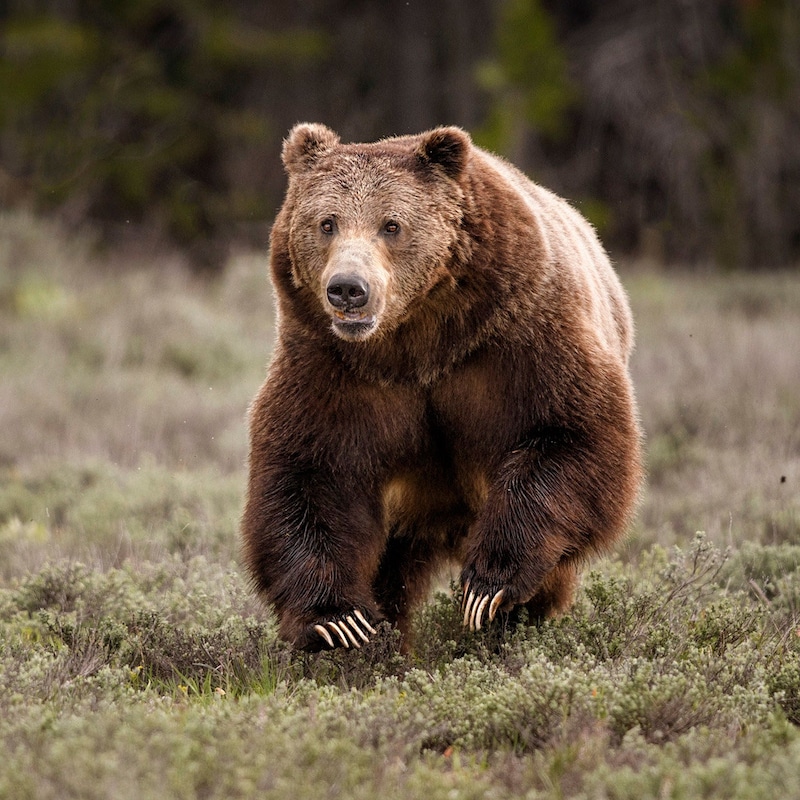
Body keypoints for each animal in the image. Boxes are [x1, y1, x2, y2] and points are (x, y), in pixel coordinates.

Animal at [242, 123, 643, 652]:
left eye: (391, 225)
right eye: (327, 223)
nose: (348, 289)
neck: (419, 341)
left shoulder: (518, 337)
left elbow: (568, 433)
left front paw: (487, 588)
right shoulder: (335, 369)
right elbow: (310, 471)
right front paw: (338, 621)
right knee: (391, 569)